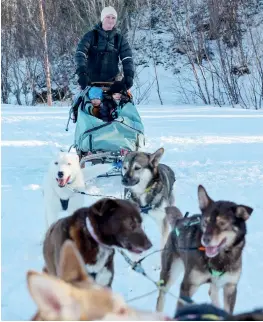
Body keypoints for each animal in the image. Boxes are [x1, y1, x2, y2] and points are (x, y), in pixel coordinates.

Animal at [157, 185, 254, 316]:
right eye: (206, 221)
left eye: (222, 223)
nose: (205, 239)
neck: (219, 259)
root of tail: (179, 220)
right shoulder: (188, 286)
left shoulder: (230, 287)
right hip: (169, 273)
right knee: (161, 297)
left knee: (212, 292)